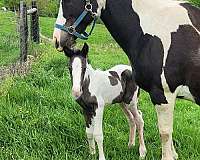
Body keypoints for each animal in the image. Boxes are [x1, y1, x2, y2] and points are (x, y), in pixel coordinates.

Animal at [53, 0, 200, 160]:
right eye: (69, 68)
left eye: (68, 1)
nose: (57, 39)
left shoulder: (163, 94)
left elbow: (165, 133)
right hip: (123, 102)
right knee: (132, 119)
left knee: (139, 119)